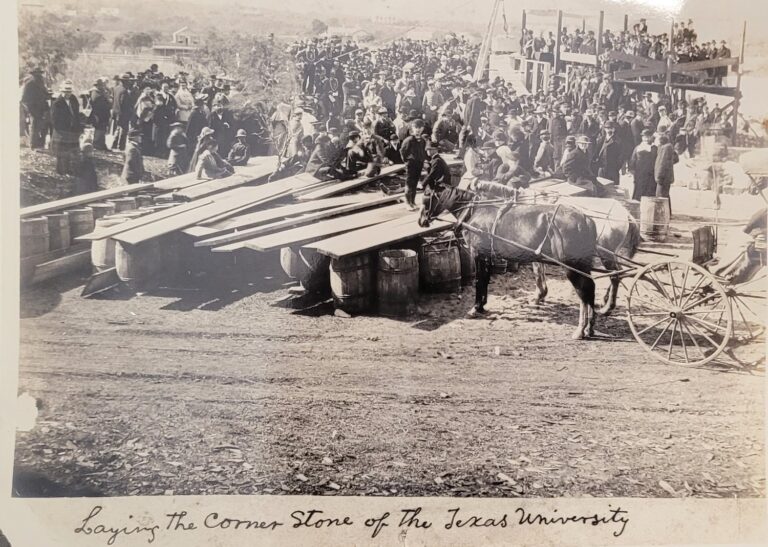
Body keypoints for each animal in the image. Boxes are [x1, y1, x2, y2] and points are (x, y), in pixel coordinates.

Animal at [420, 187, 600, 338]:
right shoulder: (487, 255)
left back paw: (580, 329)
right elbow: (485, 280)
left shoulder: (478, 254)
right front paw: (482, 305)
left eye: (426, 197)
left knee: (583, 293)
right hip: (582, 265)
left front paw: (475, 308)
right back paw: (589, 327)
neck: (476, 211)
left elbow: (479, 280)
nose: (421, 221)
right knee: (590, 288)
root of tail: (586, 219)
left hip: (571, 266)